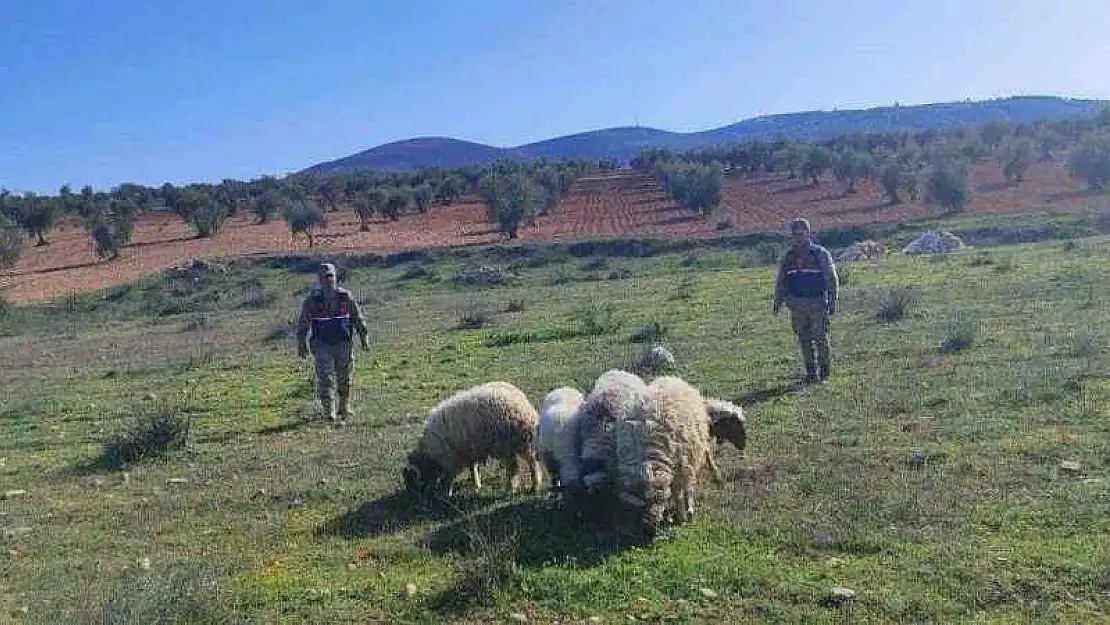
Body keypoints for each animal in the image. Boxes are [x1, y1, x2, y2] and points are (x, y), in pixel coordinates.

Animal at [404, 379, 541, 501]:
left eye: (412, 482)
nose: (414, 499)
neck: (429, 454)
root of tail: (523, 404)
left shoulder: (450, 459)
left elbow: (448, 478)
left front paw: (446, 493)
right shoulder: (468, 451)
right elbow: (472, 467)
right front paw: (476, 484)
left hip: (510, 443)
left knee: (523, 465)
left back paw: (522, 487)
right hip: (515, 443)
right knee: (524, 464)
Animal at [617, 375, 719, 535]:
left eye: (658, 499)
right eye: (640, 504)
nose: (649, 525)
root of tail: (669, 377)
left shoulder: (680, 468)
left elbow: (678, 494)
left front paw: (682, 516)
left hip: (697, 442)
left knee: (705, 454)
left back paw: (714, 474)